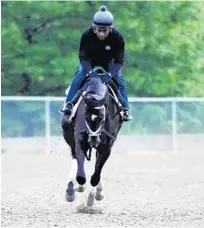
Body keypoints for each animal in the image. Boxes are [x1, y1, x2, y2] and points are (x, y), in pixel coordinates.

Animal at [60, 66, 122, 207]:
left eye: (103, 118)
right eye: (85, 117)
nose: (94, 140)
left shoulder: (107, 147)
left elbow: (96, 174)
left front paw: (92, 197)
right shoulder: (79, 140)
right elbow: (81, 174)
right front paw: (78, 187)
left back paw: (97, 191)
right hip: (69, 135)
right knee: (74, 156)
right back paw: (71, 189)